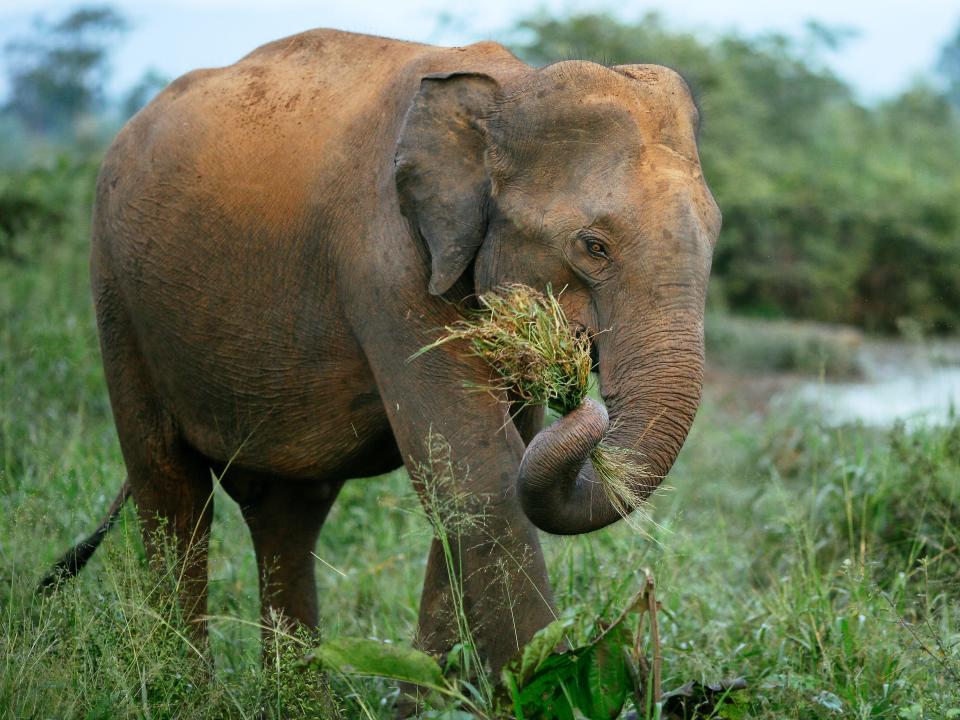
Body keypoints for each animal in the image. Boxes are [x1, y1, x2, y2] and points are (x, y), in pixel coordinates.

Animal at [45, 28, 720, 676]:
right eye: (593, 246)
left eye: (714, 235)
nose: (582, 400)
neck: (509, 88)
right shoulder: (386, 262)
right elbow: (478, 473)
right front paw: (547, 686)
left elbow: (487, 470)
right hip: (117, 289)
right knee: (171, 493)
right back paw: (183, 691)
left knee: (286, 512)